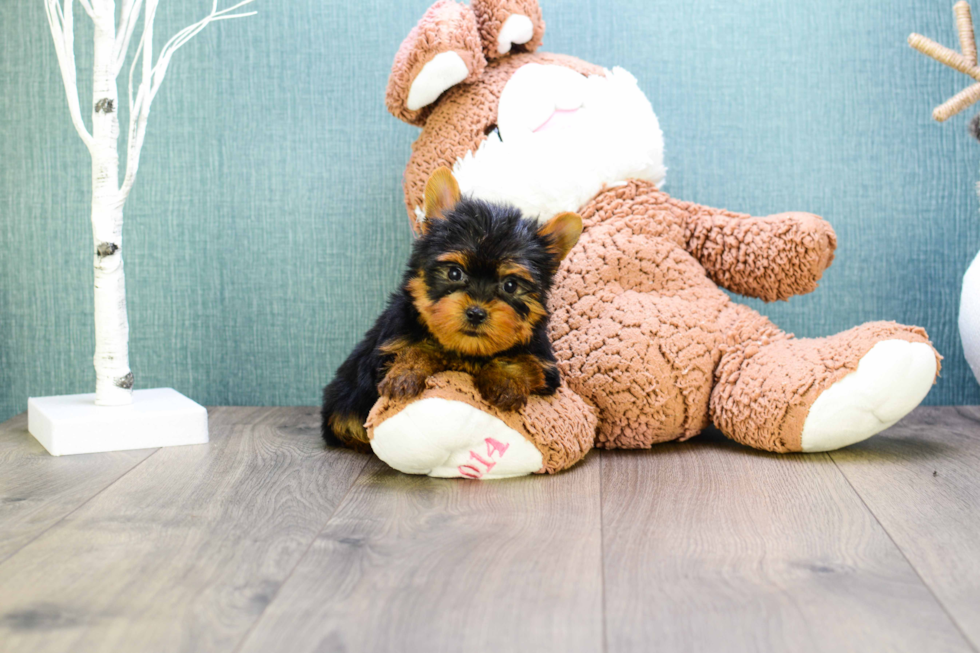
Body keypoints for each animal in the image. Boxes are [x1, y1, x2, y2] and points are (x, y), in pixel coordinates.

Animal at [322, 167, 580, 448]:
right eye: (455, 273)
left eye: (510, 285)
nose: (476, 313)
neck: (467, 350)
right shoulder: (386, 349)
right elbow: (419, 349)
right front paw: (406, 372)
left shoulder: (545, 366)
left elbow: (521, 361)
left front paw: (505, 383)